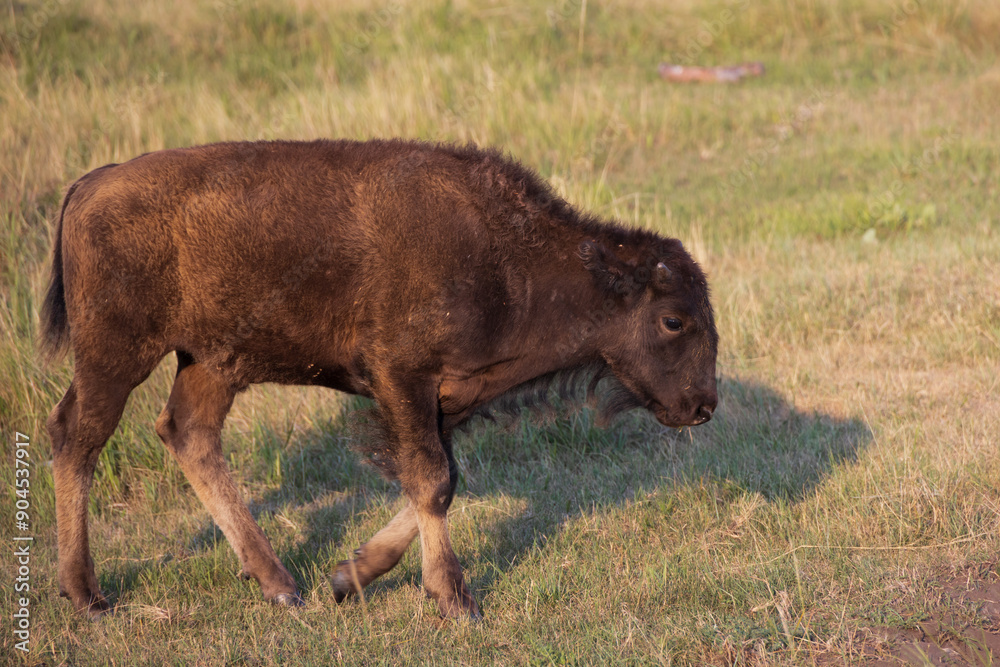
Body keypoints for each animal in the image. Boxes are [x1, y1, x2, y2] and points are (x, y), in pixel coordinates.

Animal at [41, 139, 718, 620]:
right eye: (673, 319)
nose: (704, 407)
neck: (511, 259)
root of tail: (90, 183)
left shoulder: (447, 401)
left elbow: (440, 481)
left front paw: (349, 576)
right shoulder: (403, 380)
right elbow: (433, 482)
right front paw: (456, 601)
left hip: (209, 362)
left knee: (188, 434)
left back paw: (282, 587)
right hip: (117, 355)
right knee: (78, 436)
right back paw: (88, 595)